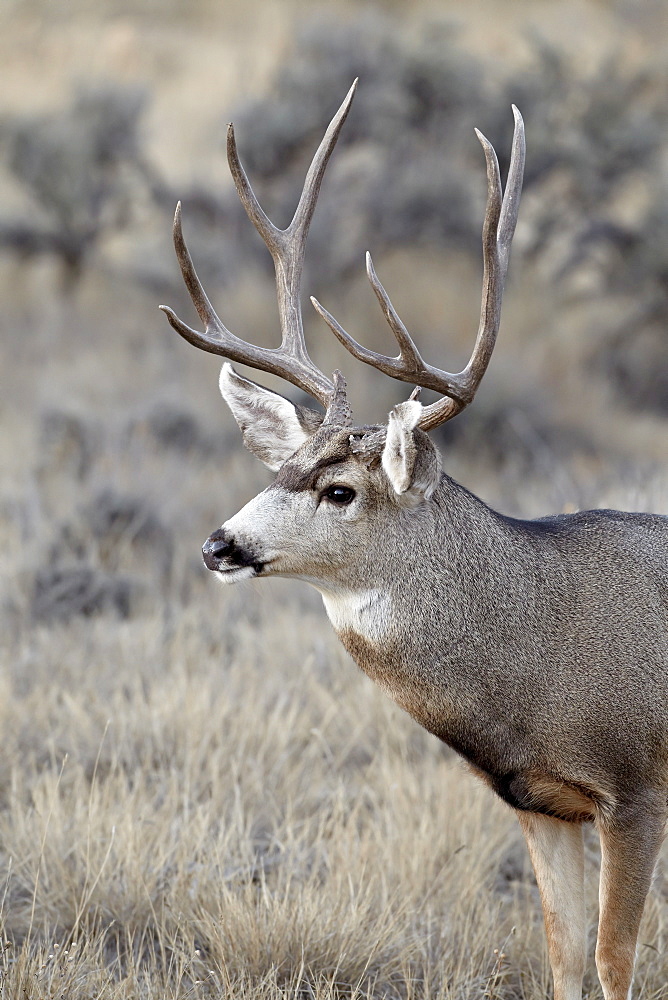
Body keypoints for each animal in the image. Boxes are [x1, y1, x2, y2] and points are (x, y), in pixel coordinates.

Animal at [160, 78, 668, 1000]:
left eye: (339, 490)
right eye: (280, 467)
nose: (220, 544)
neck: (540, 650)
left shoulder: (638, 782)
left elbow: (614, 962)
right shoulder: (540, 802)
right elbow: (563, 954)